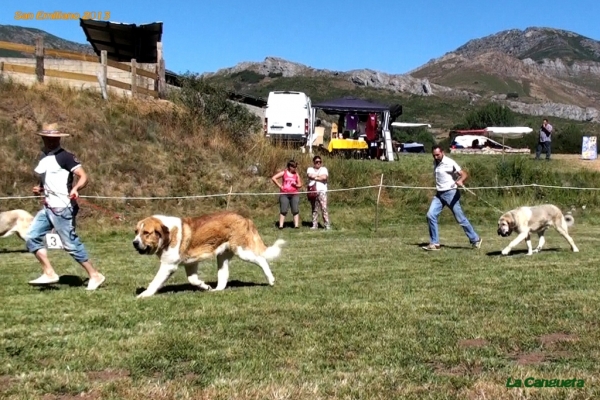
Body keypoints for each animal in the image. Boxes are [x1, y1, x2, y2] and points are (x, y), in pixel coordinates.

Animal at [132, 211, 286, 298]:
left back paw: (271, 280)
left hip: (243, 251)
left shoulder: (167, 266)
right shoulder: (191, 263)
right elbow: (193, 279)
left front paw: (144, 294)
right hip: (222, 257)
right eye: (136, 232)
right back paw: (216, 290)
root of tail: (245, 218)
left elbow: (155, 281)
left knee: (262, 260)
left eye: (146, 233)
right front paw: (205, 286)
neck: (168, 234)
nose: (134, 243)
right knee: (223, 277)